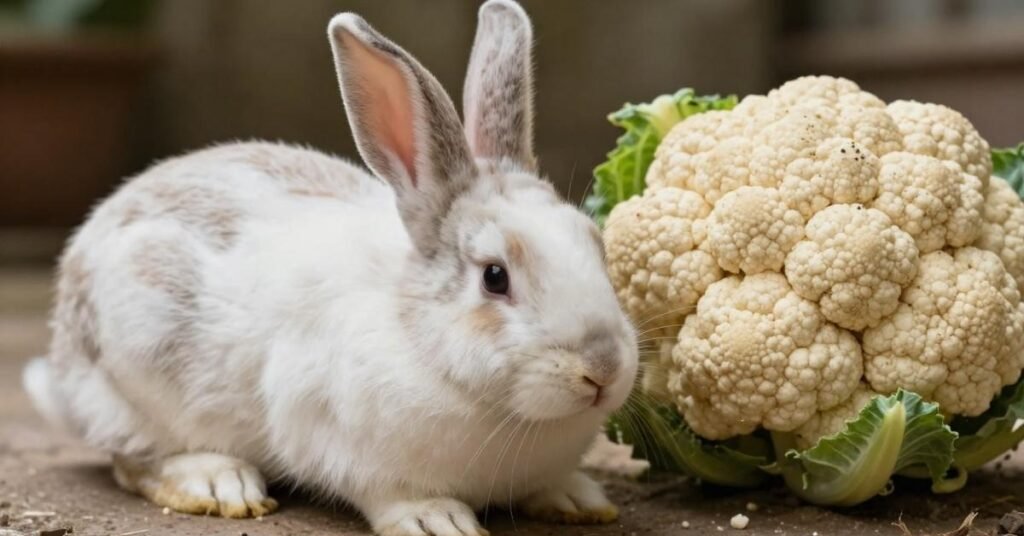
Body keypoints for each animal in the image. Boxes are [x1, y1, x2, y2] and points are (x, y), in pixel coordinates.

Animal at [21, 1, 639, 534]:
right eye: (494, 276)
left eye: (595, 244)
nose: (602, 369)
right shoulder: (344, 444)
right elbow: (390, 494)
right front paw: (436, 520)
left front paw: (577, 498)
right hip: (135, 377)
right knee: (135, 457)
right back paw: (219, 482)